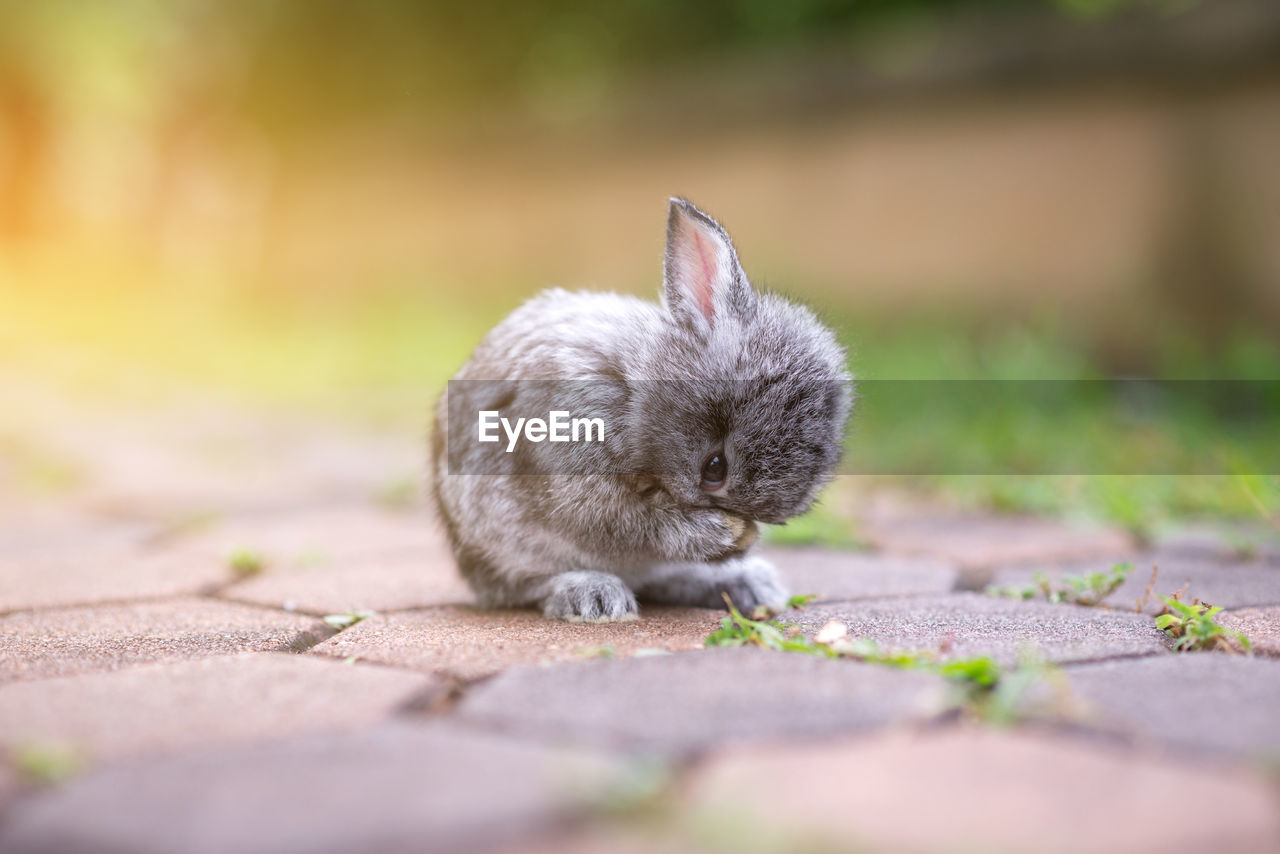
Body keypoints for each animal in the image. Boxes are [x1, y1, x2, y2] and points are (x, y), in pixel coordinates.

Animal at [430, 203, 849, 624]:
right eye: (714, 468)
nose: (744, 538)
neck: (635, 393)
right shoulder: (574, 466)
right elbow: (627, 524)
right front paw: (719, 535)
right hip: (500, 543)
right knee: (525, 586)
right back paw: (594, 597)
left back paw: (749, 585)